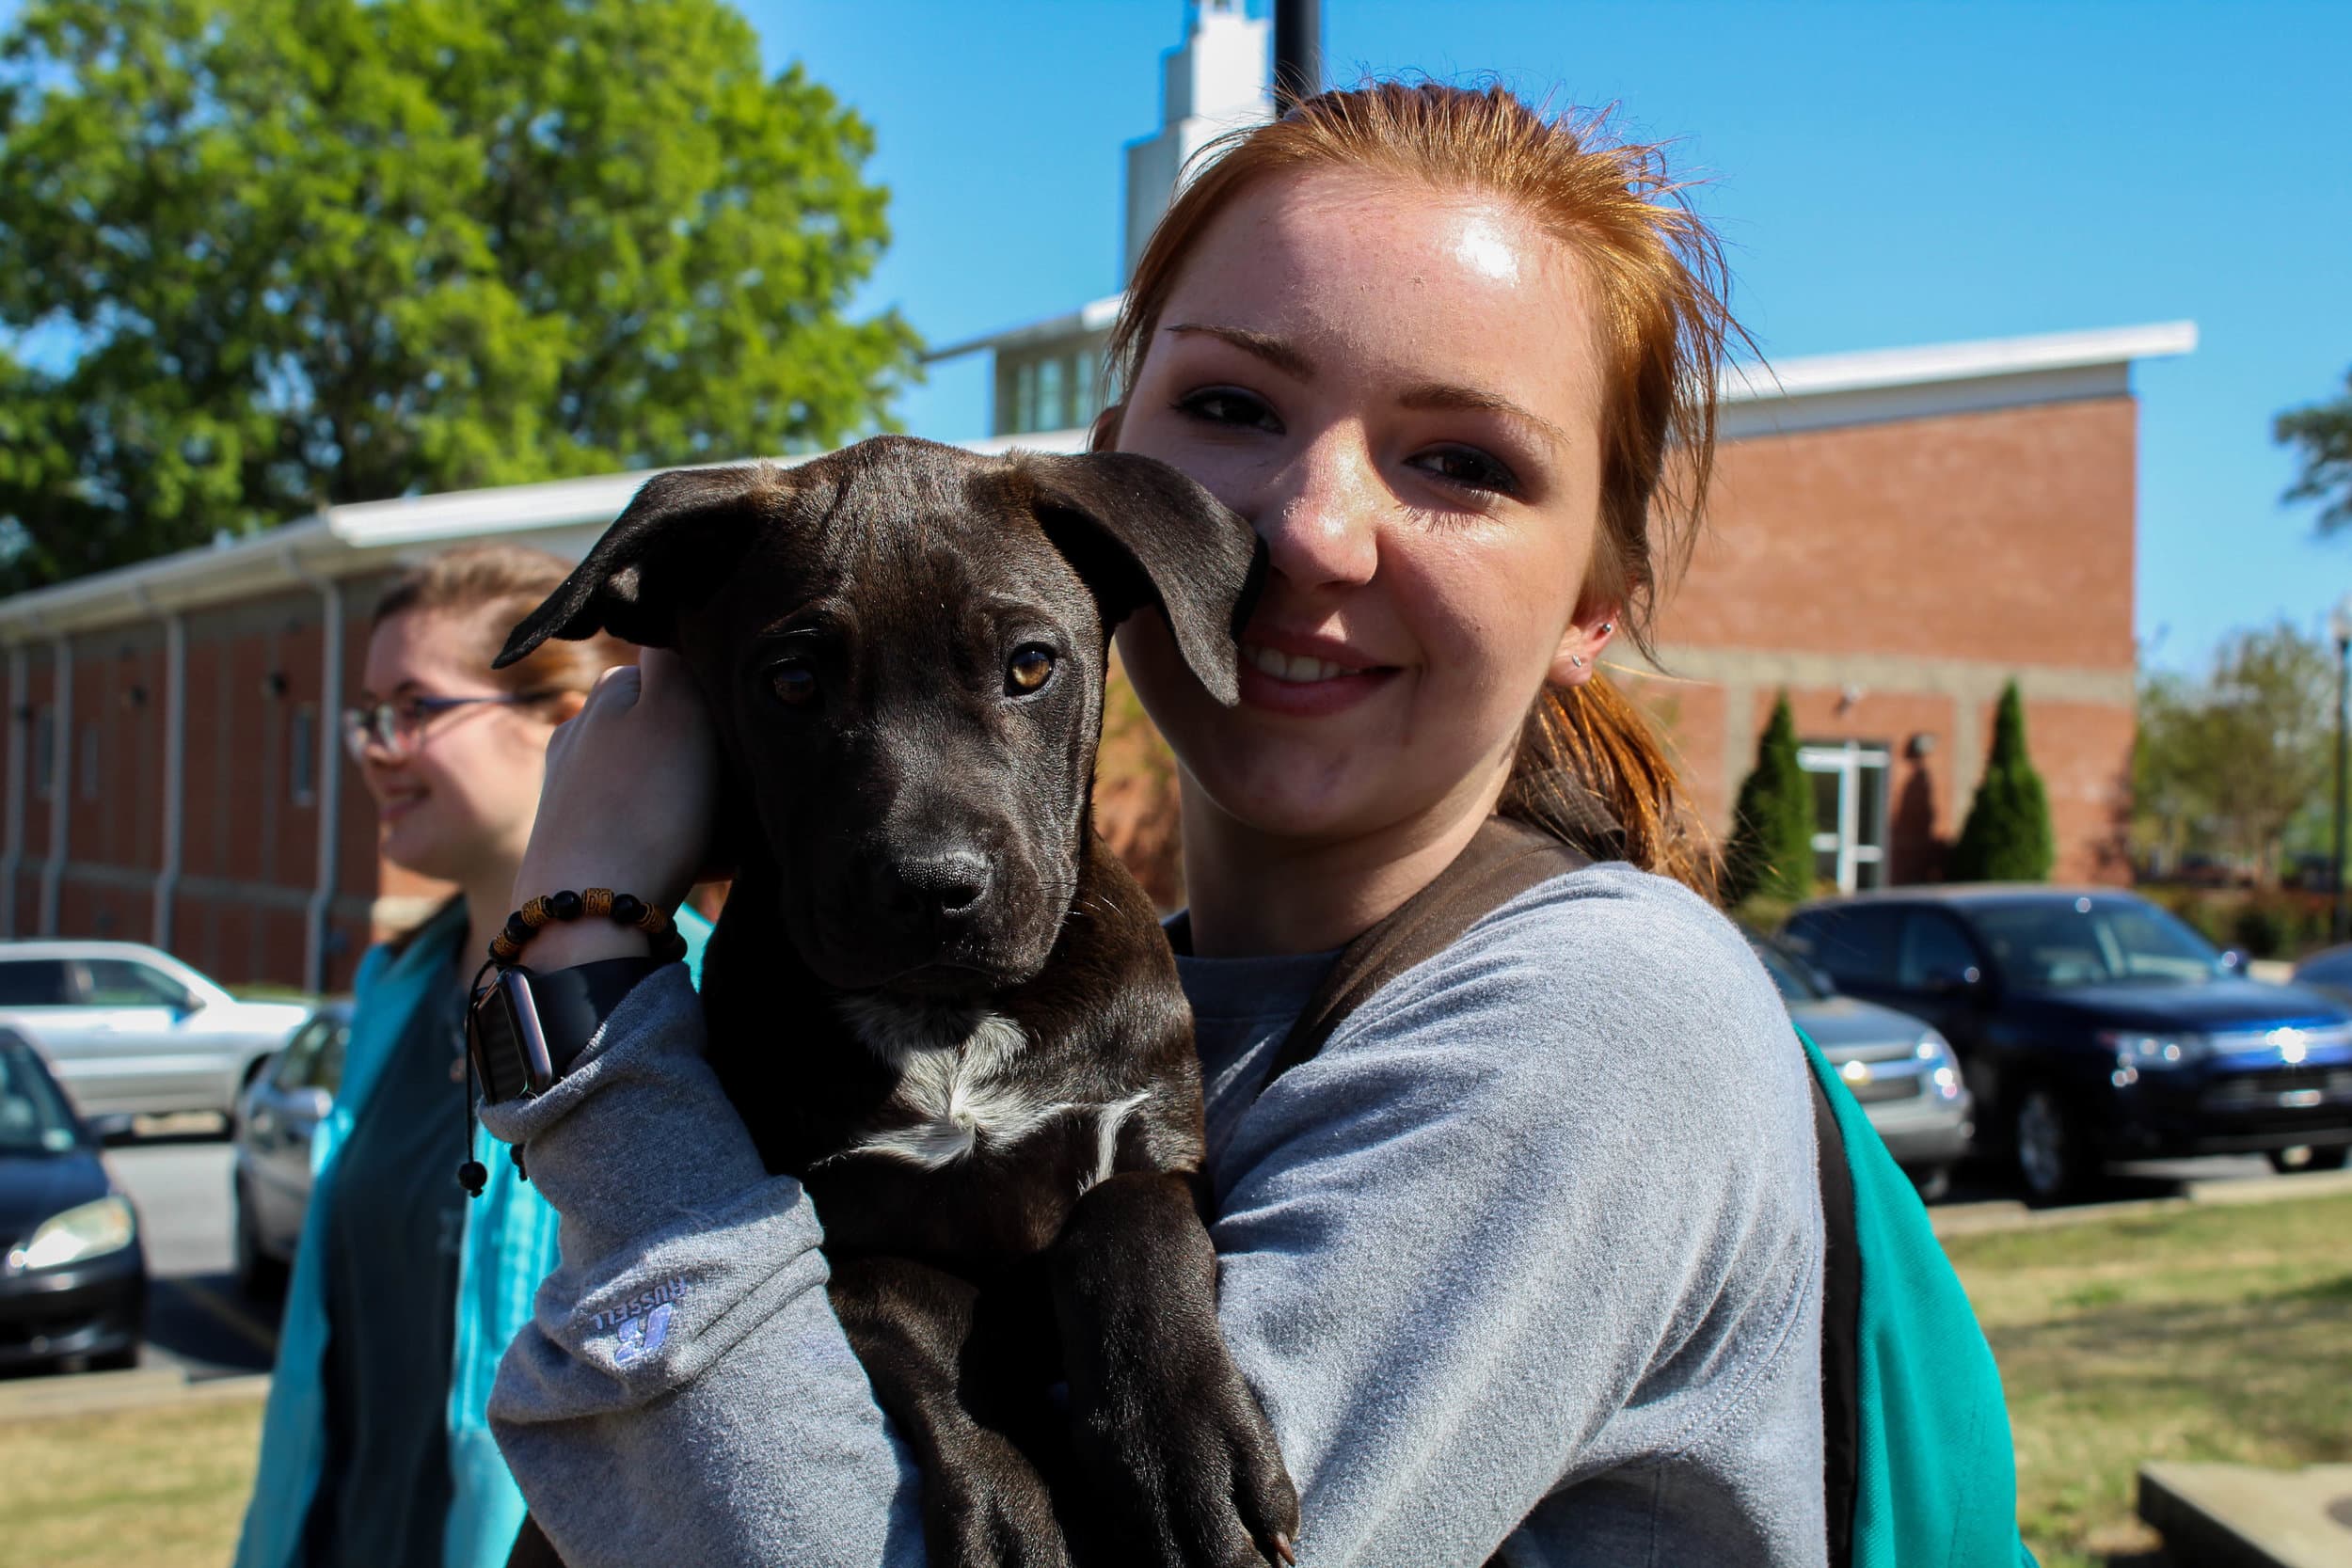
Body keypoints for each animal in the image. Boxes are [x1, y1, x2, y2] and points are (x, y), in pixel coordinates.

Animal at [501, 439, 1308, 1568]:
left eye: (1030, 665)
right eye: (793, 681)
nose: (933, 887)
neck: (948, 1024)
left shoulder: (1157, 1138)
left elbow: (1133, 1227)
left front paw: (1185, 1456)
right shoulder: (831, 1217)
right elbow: (915, 1312)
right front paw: (1013, 1503)